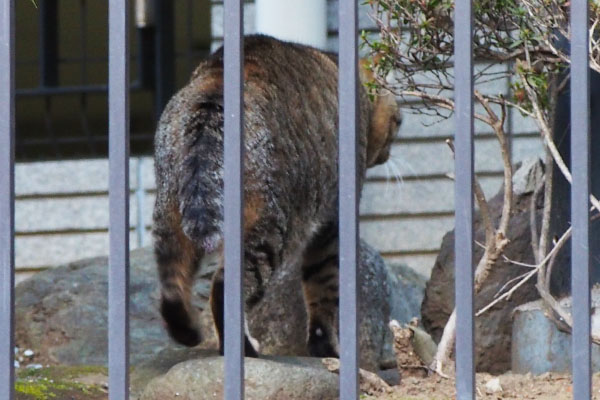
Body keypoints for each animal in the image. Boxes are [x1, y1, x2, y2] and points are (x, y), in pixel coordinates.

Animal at [152, 35, 400, 356]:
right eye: (398, 121)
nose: (389, 153)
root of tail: (214, 91)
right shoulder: (332, 224)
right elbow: (323, 289)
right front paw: (325, 347)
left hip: (169, 213)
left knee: (172, 284)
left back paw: (188, 332)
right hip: (270, 226)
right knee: (225, 287)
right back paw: (244, 347)